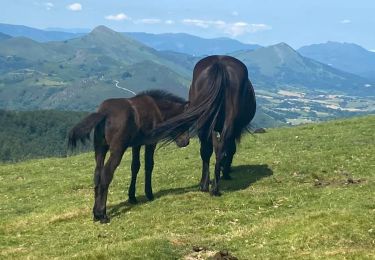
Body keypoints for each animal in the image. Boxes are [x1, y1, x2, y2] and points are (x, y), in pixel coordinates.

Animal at [68, 90, 188, 223]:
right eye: (183, 122)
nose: (185, 142)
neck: (156, 108)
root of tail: (104, 113)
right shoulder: (151, 142)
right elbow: (149, 165)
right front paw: (149, 194)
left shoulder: (136, 144)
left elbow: (135, 166)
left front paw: (132, 197)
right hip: (117, 150)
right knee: (106, 173)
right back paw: (102, 214)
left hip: (100, 149)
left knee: (97, 173)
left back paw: (95, 214)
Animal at [151, 55, 258, 196]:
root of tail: (220, 64)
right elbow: (231, 149)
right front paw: (226, 171)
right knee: (217, 149)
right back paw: (213, 186)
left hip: (205, 123)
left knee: (209, 151)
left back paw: (207, 186)